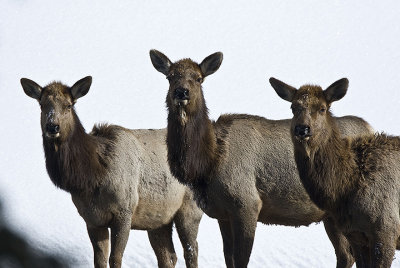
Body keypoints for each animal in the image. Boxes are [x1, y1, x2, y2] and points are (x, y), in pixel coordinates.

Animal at [21, 76, 203, 268]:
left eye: (69, 105)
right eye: (42, 104)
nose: (52, 127)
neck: (92, 178)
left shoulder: (124, 211)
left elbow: (115, 258)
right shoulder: (92, 219)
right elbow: (99, 260)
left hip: (189, 209)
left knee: (191, 250)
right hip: (158, 219)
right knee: (168, 256)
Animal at [151, 48, 376, 268]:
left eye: (198, 78)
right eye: (170, 77)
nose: (182, 92)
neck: (209, 163)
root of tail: (369, 128)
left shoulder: (247, 203)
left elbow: (240, 260)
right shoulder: (222, 214)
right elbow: (228, 258)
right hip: (330, 215)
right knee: (346, 255)